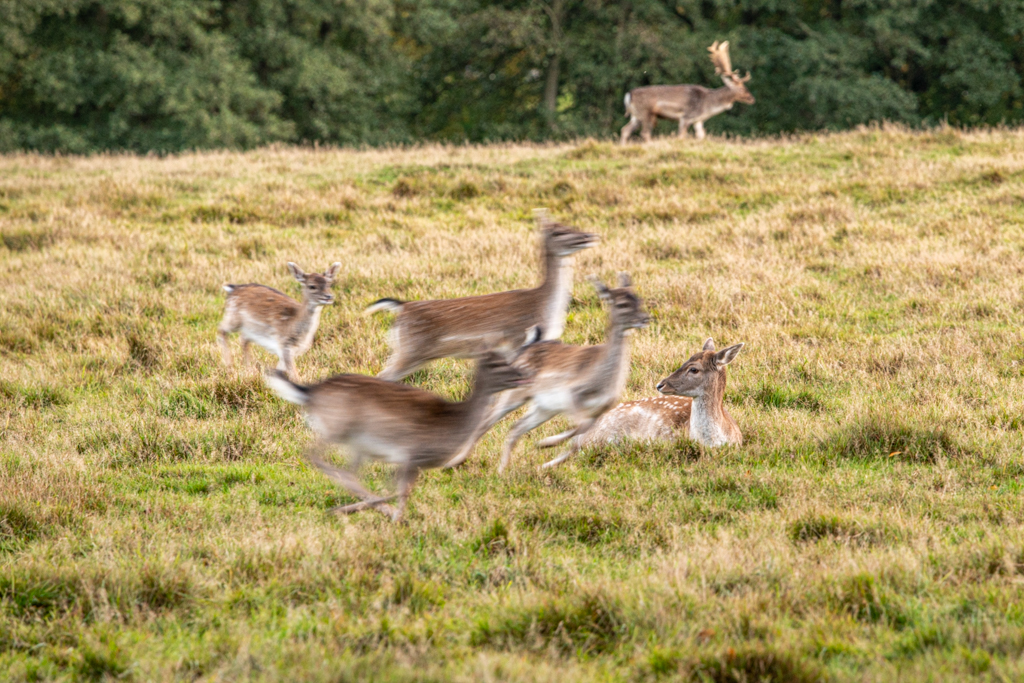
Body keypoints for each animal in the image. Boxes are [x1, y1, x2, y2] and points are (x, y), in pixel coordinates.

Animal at [364, 210, 598, 382]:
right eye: (556, 232)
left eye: (570, 225)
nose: (589, 236)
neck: (544, 307)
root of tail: (401, 307)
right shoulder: (515, 343)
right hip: (410, 351)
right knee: (382, 376)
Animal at [444, 270, 651, 471]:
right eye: (622, 304)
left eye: (639, 299)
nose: (645, 318)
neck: (603, 379)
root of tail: (527, 346)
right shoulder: (573, 394)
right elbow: (578, 429)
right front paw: (546, 443)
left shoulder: (600, 409)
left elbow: (578, 439)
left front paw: (545, 461)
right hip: (516, 393)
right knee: (487, 420)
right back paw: (454, 462)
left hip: (544, 407)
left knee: (515, 427)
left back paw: (501, 471)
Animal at [614, 40, 753, 144]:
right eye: (741, 88)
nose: (752, 98)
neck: (707, 104)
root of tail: (628, 95)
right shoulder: (686, 116)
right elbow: (681, 136)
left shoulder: (697, 120)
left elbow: (701, 136)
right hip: (646, 112)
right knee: (645, 133)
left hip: (636, 115)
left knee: (625, 130)